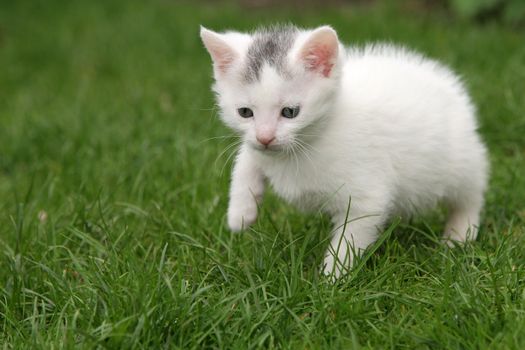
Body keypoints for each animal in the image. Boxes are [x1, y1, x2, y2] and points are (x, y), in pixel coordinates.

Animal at [200, 23, 488, 278]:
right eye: (244, 112)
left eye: (290, 112)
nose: (265, 137)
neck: (306, 146)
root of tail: (446, 82)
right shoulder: (259, 148)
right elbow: (247, 158)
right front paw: (240, 213)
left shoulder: (365, 197)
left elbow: (349, 239)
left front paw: (331, 281)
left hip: (460, 159)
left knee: (471, 191)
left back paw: (459, 234)